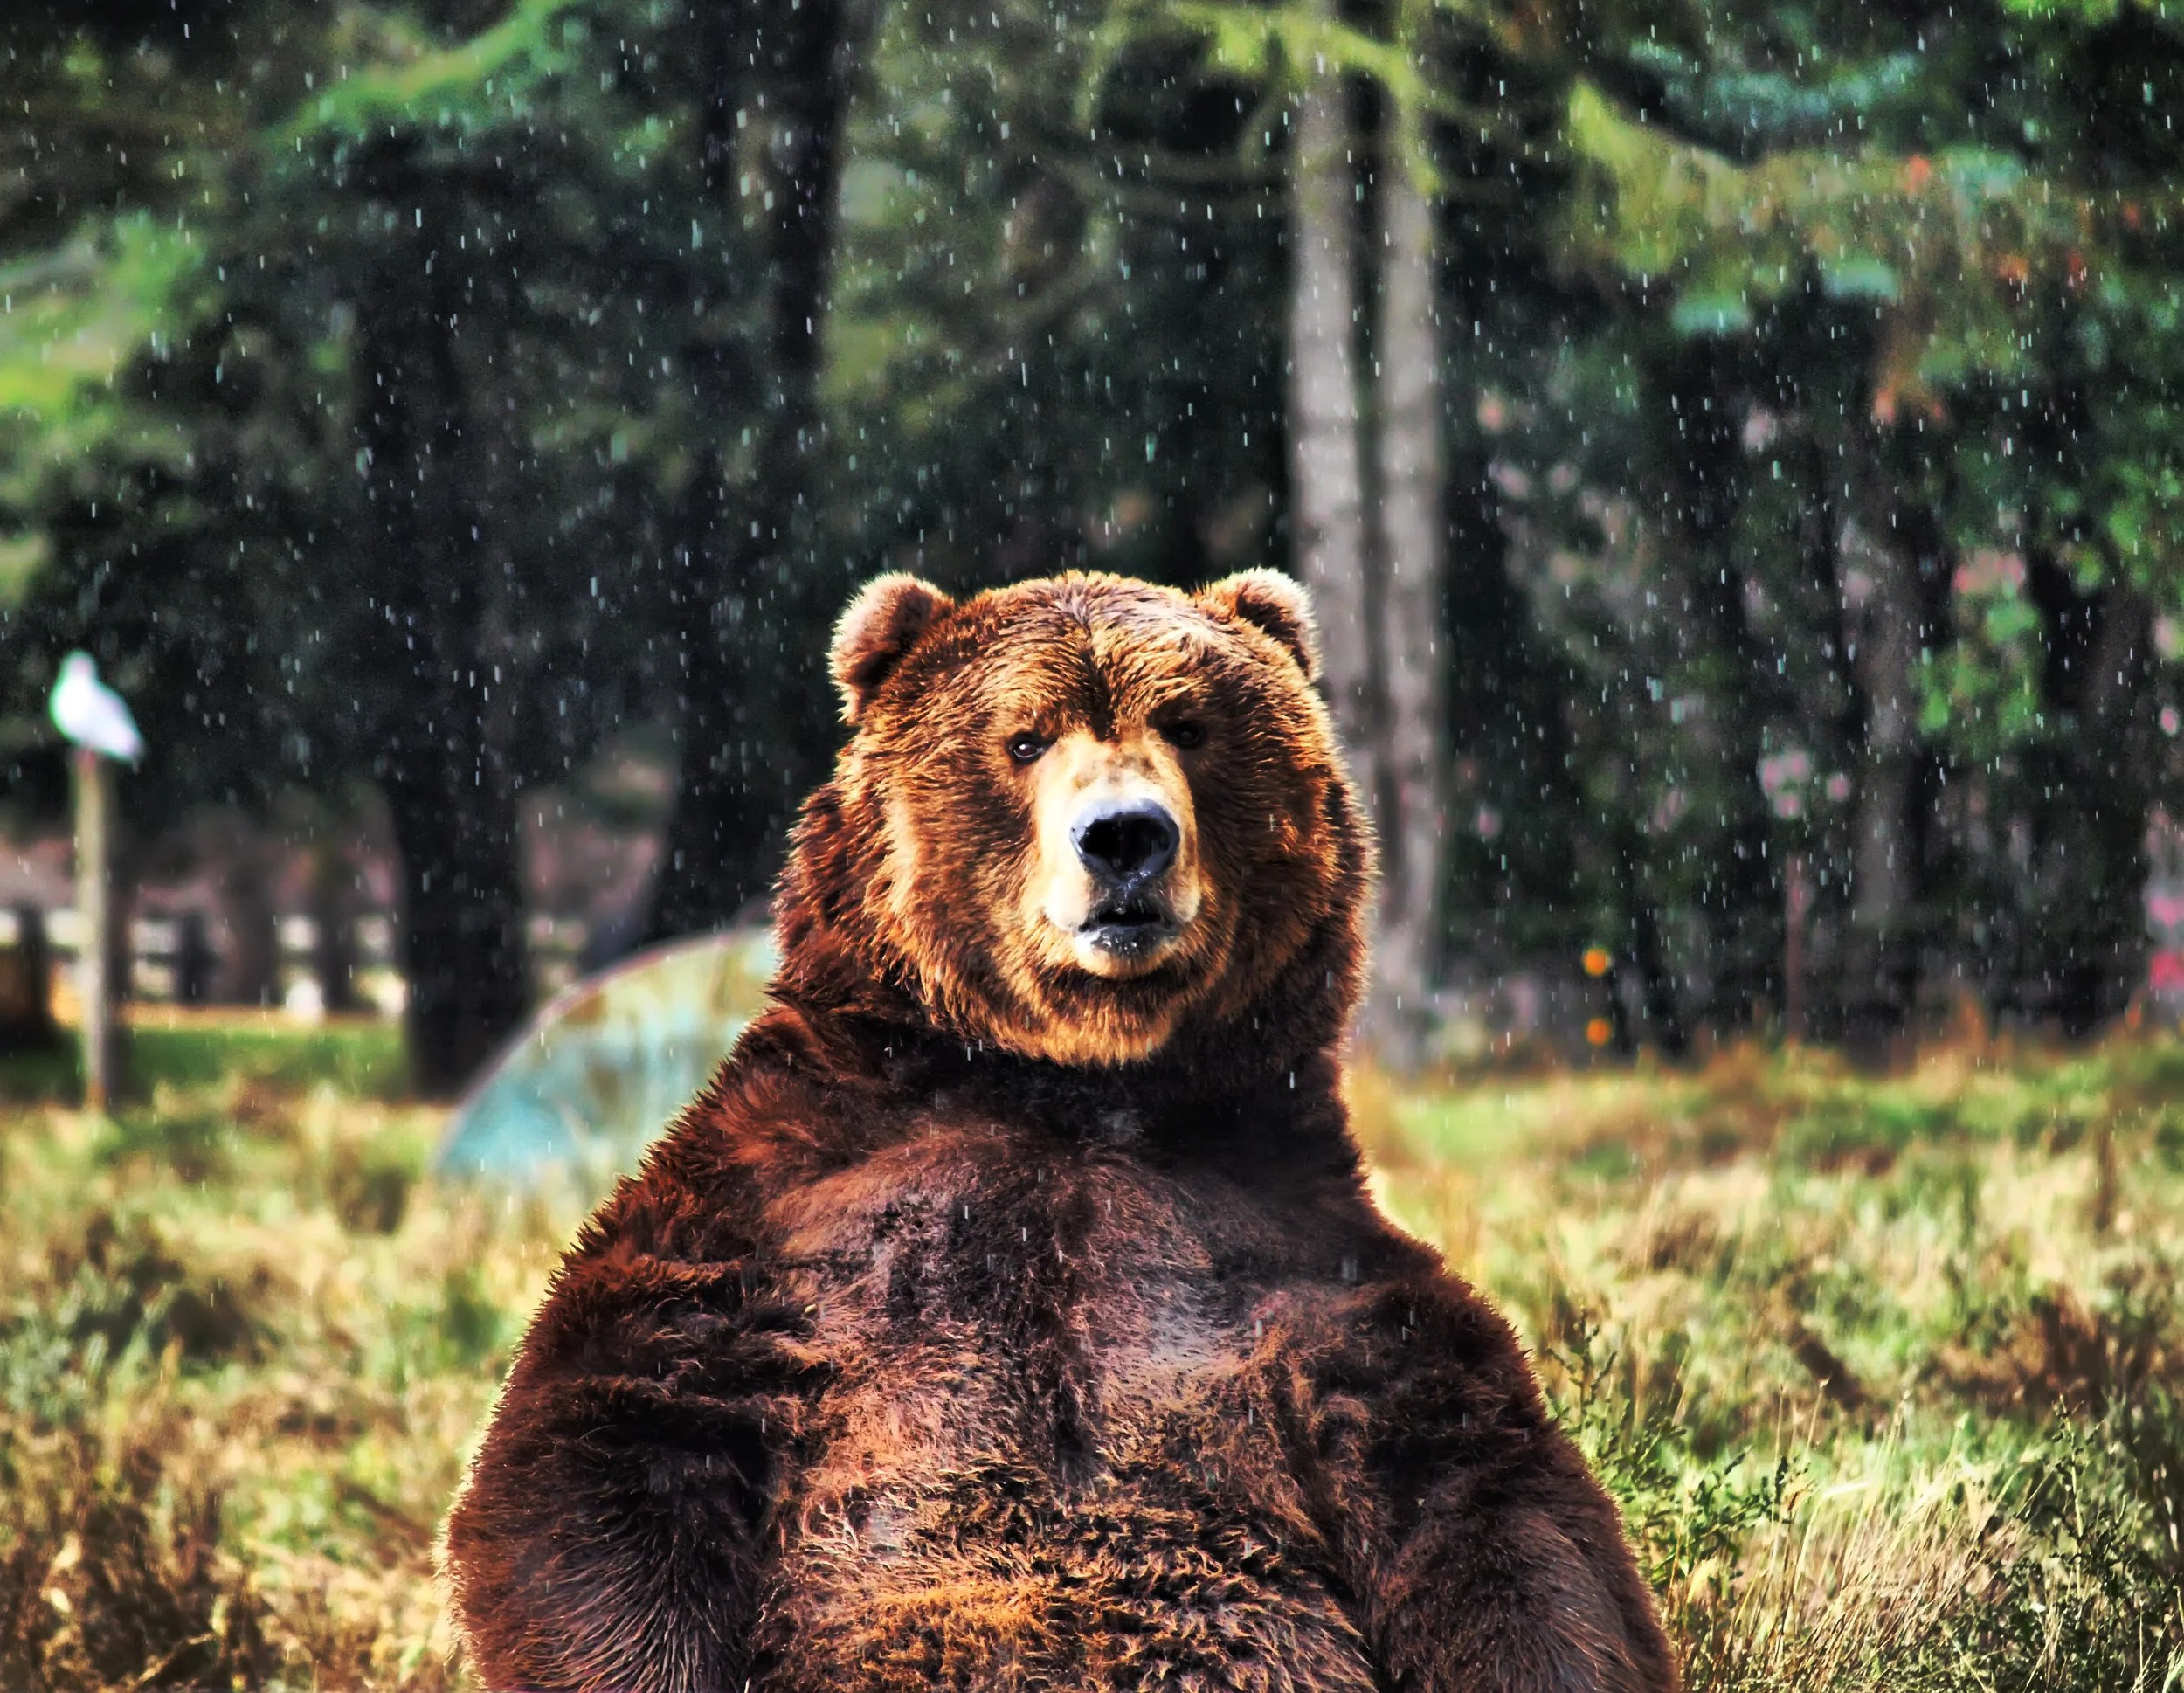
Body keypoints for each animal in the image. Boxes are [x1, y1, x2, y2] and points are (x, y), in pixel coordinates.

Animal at [444, 569, 1677, 1693]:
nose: (1124, 837)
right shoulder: (778, 1209)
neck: (1068, 1090)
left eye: (1189, 723)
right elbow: (614, 1442)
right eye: (1025, 736)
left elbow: (1493, 1511)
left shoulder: (1304, 1262)